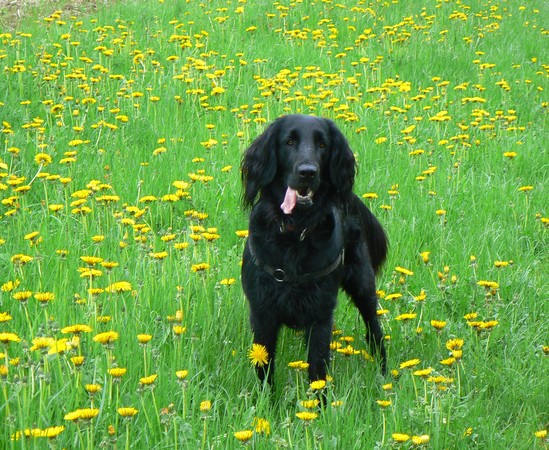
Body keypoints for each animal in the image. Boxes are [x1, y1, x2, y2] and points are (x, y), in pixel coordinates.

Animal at [240, 114, 386, 384]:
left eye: (322, 144)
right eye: (289, 142)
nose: (308, 172)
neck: (295, 232)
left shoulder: (321, 313)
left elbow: (318, 368)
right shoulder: (262, 311)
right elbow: (264, 366)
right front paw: (265, 396)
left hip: (363, 286)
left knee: (375, 331)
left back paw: (385, 376)